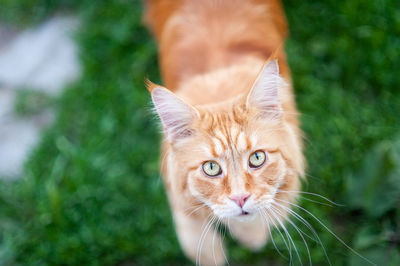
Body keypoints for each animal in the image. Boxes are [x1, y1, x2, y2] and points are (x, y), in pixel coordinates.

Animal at [144, 0, 304, 264]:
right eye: (211, 168)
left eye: (257, 158)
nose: (240, 199)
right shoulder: (173, 181)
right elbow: (192, 229)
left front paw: (251, 234)